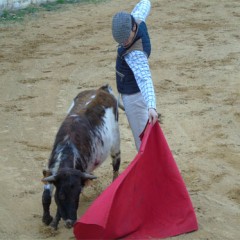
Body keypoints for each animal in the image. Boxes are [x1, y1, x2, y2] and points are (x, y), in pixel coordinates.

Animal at [41, 85, 122, 230]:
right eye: (61, 195)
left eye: (76, 195)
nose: (71, 222)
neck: (68, 147)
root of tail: (101, 90)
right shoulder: (52, 170)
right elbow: (46, 196)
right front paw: (47, 218)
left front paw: (54, 223)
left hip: (116, 144)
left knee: (116, 165)